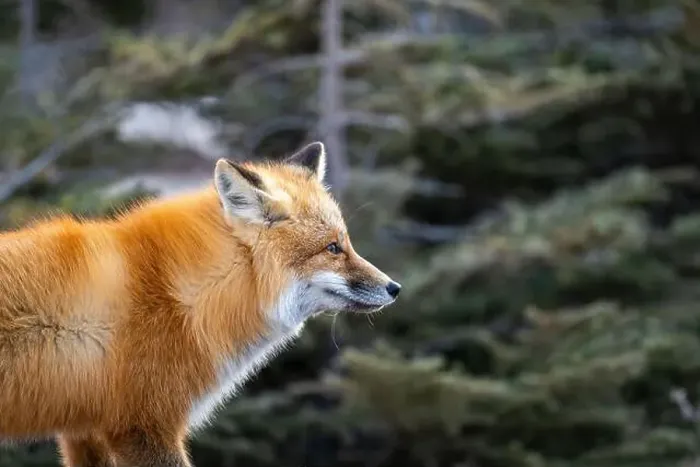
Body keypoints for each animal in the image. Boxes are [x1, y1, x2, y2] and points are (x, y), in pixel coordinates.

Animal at [0, 141, 401, 467]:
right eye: (333, 248)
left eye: (346, 243)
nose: (394, 288)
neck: (182, 297)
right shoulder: (144, 426)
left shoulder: (84, 431)